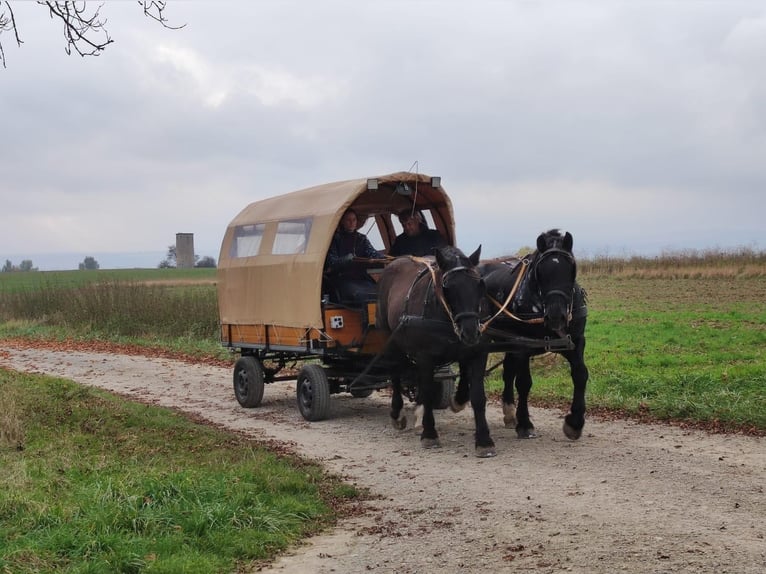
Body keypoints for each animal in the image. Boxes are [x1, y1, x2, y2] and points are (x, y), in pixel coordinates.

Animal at [376, 245, 496, 458]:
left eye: (479, 284)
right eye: (447, 287)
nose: (471, 331)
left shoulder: (478, 352)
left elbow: (478, 396)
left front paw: (484, 440)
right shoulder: (425, 356)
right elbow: (427, 390)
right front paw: (429, 434)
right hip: (389, 338)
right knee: (396, 374)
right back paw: (397, 413)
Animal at [460, 229, 589, 440]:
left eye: (572, 269)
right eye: (540, 272)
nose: (556, 315)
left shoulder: (575, 342)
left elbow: (580, 375)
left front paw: (575, 423)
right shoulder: (523, 347)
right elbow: (524, 383)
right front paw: (525, 424)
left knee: (507, 371)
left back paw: (508, 412)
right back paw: (460, 397)